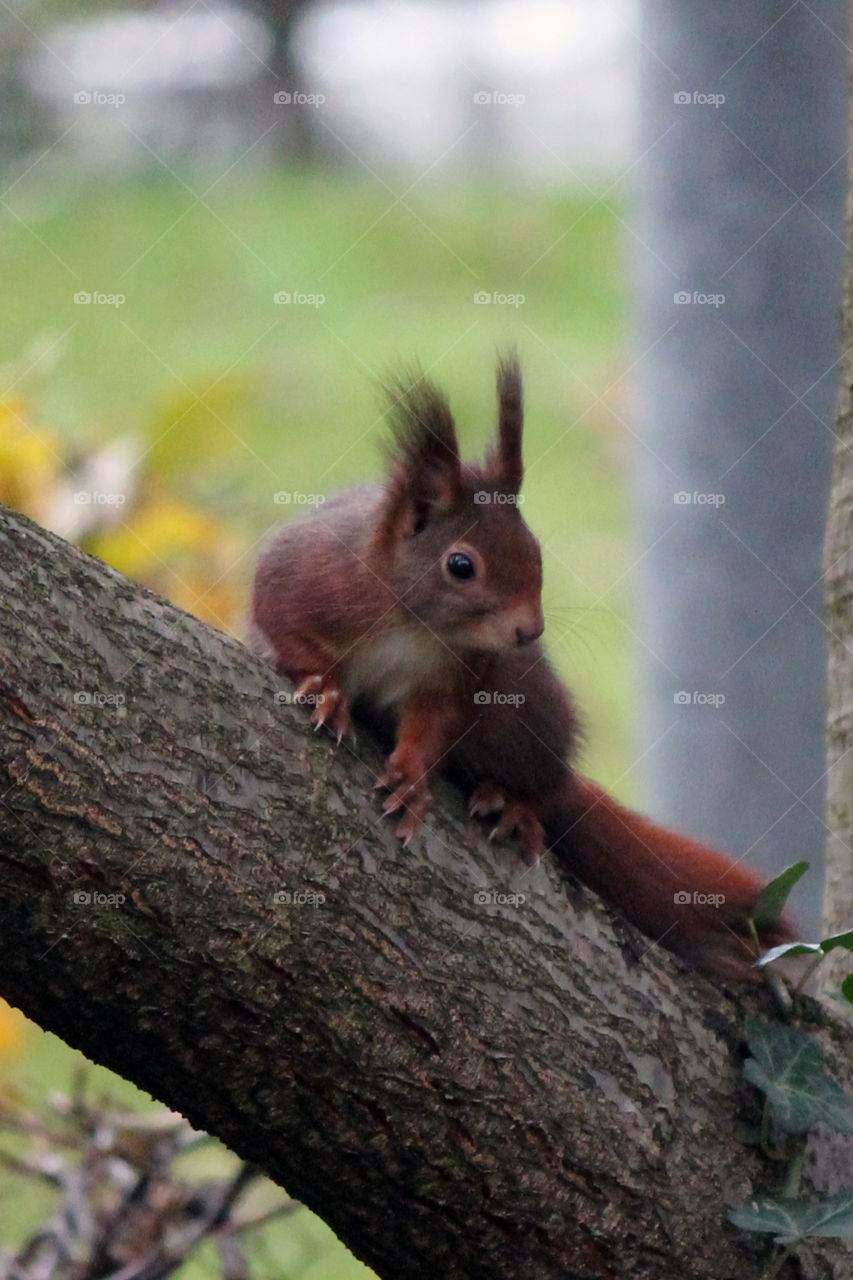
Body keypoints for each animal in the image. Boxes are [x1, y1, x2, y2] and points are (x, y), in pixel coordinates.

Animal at [250, 356, 796, 981]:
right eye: (461, 565)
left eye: (536, 552)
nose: (529, 631)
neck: (416, 625)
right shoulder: (307, 576)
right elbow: (282, 624)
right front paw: (326, 688)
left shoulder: (459, 679)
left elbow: (431, 725)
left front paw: (411, 778)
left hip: (521, 710)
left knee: (546, 784)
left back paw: (516, 804)